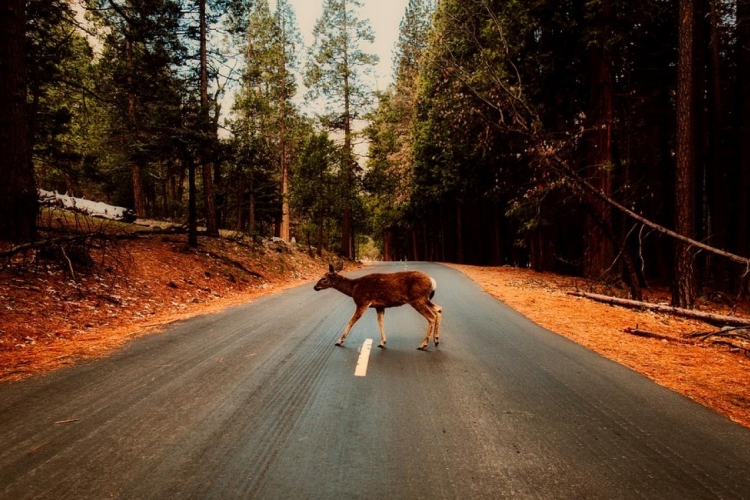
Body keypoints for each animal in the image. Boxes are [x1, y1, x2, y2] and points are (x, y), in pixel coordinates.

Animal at [314, 264, 444, 350]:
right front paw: (382, 342)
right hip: (425, 299)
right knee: (439, 309)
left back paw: (423, 344)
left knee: (431, 316)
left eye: (324, 278)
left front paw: (339, 341)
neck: (353, 288)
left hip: (417, 299)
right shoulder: (379, 306)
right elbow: (380, 322)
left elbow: (351, 321)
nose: (315, 287)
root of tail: (432, 281)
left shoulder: (362, 302)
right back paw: (436, 340)